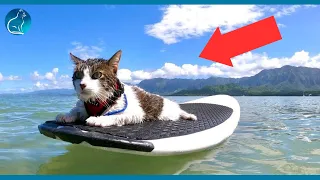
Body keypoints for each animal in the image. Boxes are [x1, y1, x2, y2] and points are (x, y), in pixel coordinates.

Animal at [55, 50, 198, 127]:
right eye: (78, 75)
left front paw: (98, 119)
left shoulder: (137, 113)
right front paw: (66, 115)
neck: (96, 100)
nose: (82, 84)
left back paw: (188, 115)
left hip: (169, 110)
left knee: (180, 111)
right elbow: (76, 110)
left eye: (96, 75)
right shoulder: (83, 105)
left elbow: (117, 116)